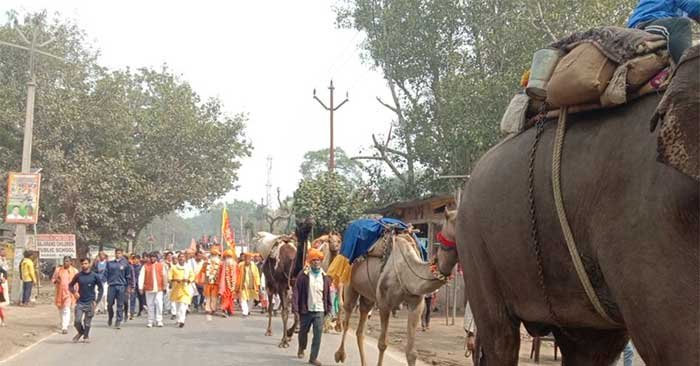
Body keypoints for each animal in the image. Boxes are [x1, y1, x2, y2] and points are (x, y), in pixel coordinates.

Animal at [334, 224, 460, 364]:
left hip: (368, 296)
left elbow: (411, 353)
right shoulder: (384, 304)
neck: (405, 270)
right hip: (350, 284)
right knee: (347, 316)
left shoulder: (416, 303)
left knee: (360, 329)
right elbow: (382, 344)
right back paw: (340, 354)